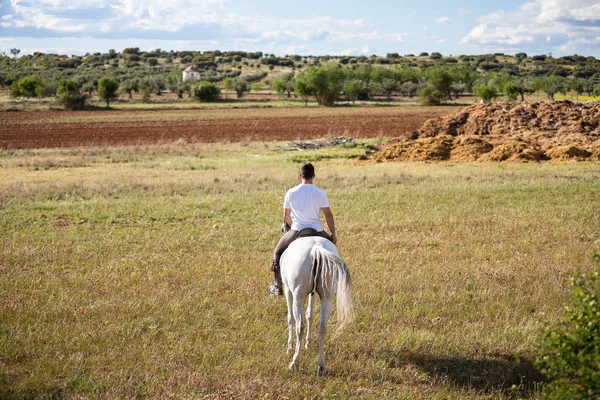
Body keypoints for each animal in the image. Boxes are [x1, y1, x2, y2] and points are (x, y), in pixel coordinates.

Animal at [278, 234, 354, 376]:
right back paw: (321, 365)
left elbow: (290, 318)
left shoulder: (287, 290)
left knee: (300, 326)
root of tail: (316, 250)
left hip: (298, 296)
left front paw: (289, 347)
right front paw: (308, 343)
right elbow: (310, 315)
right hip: (327, 297)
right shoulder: (312, 293)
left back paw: (295, 361)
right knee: (323, 327)